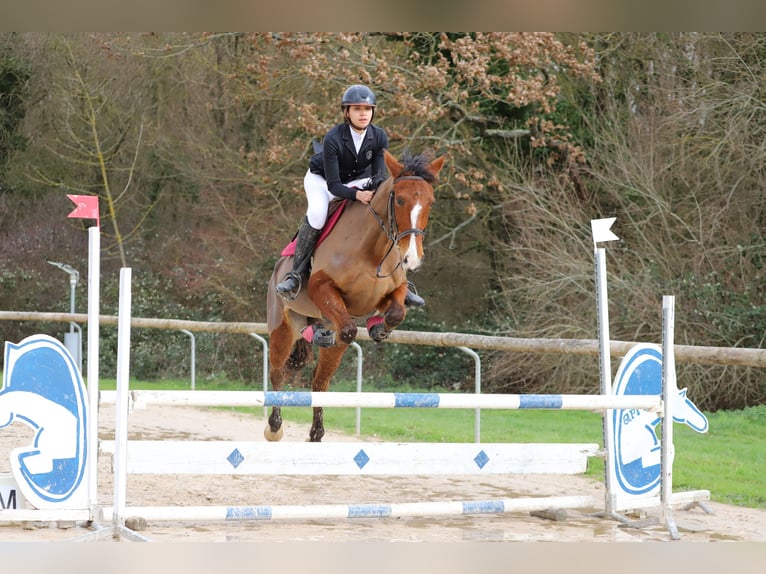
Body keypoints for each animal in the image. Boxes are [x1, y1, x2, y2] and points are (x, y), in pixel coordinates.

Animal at [266, 148, 448, 440]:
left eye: (430, 202)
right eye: (400, 200)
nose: (411, 259)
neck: (373, 248)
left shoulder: (392, 291)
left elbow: (395, 312)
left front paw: (378, 328)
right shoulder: (322, 288)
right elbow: (349, 326)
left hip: (327, 340)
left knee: (320, 380)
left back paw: (316, 431)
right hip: (282, 326)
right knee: (278, 372)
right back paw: (274, 427)